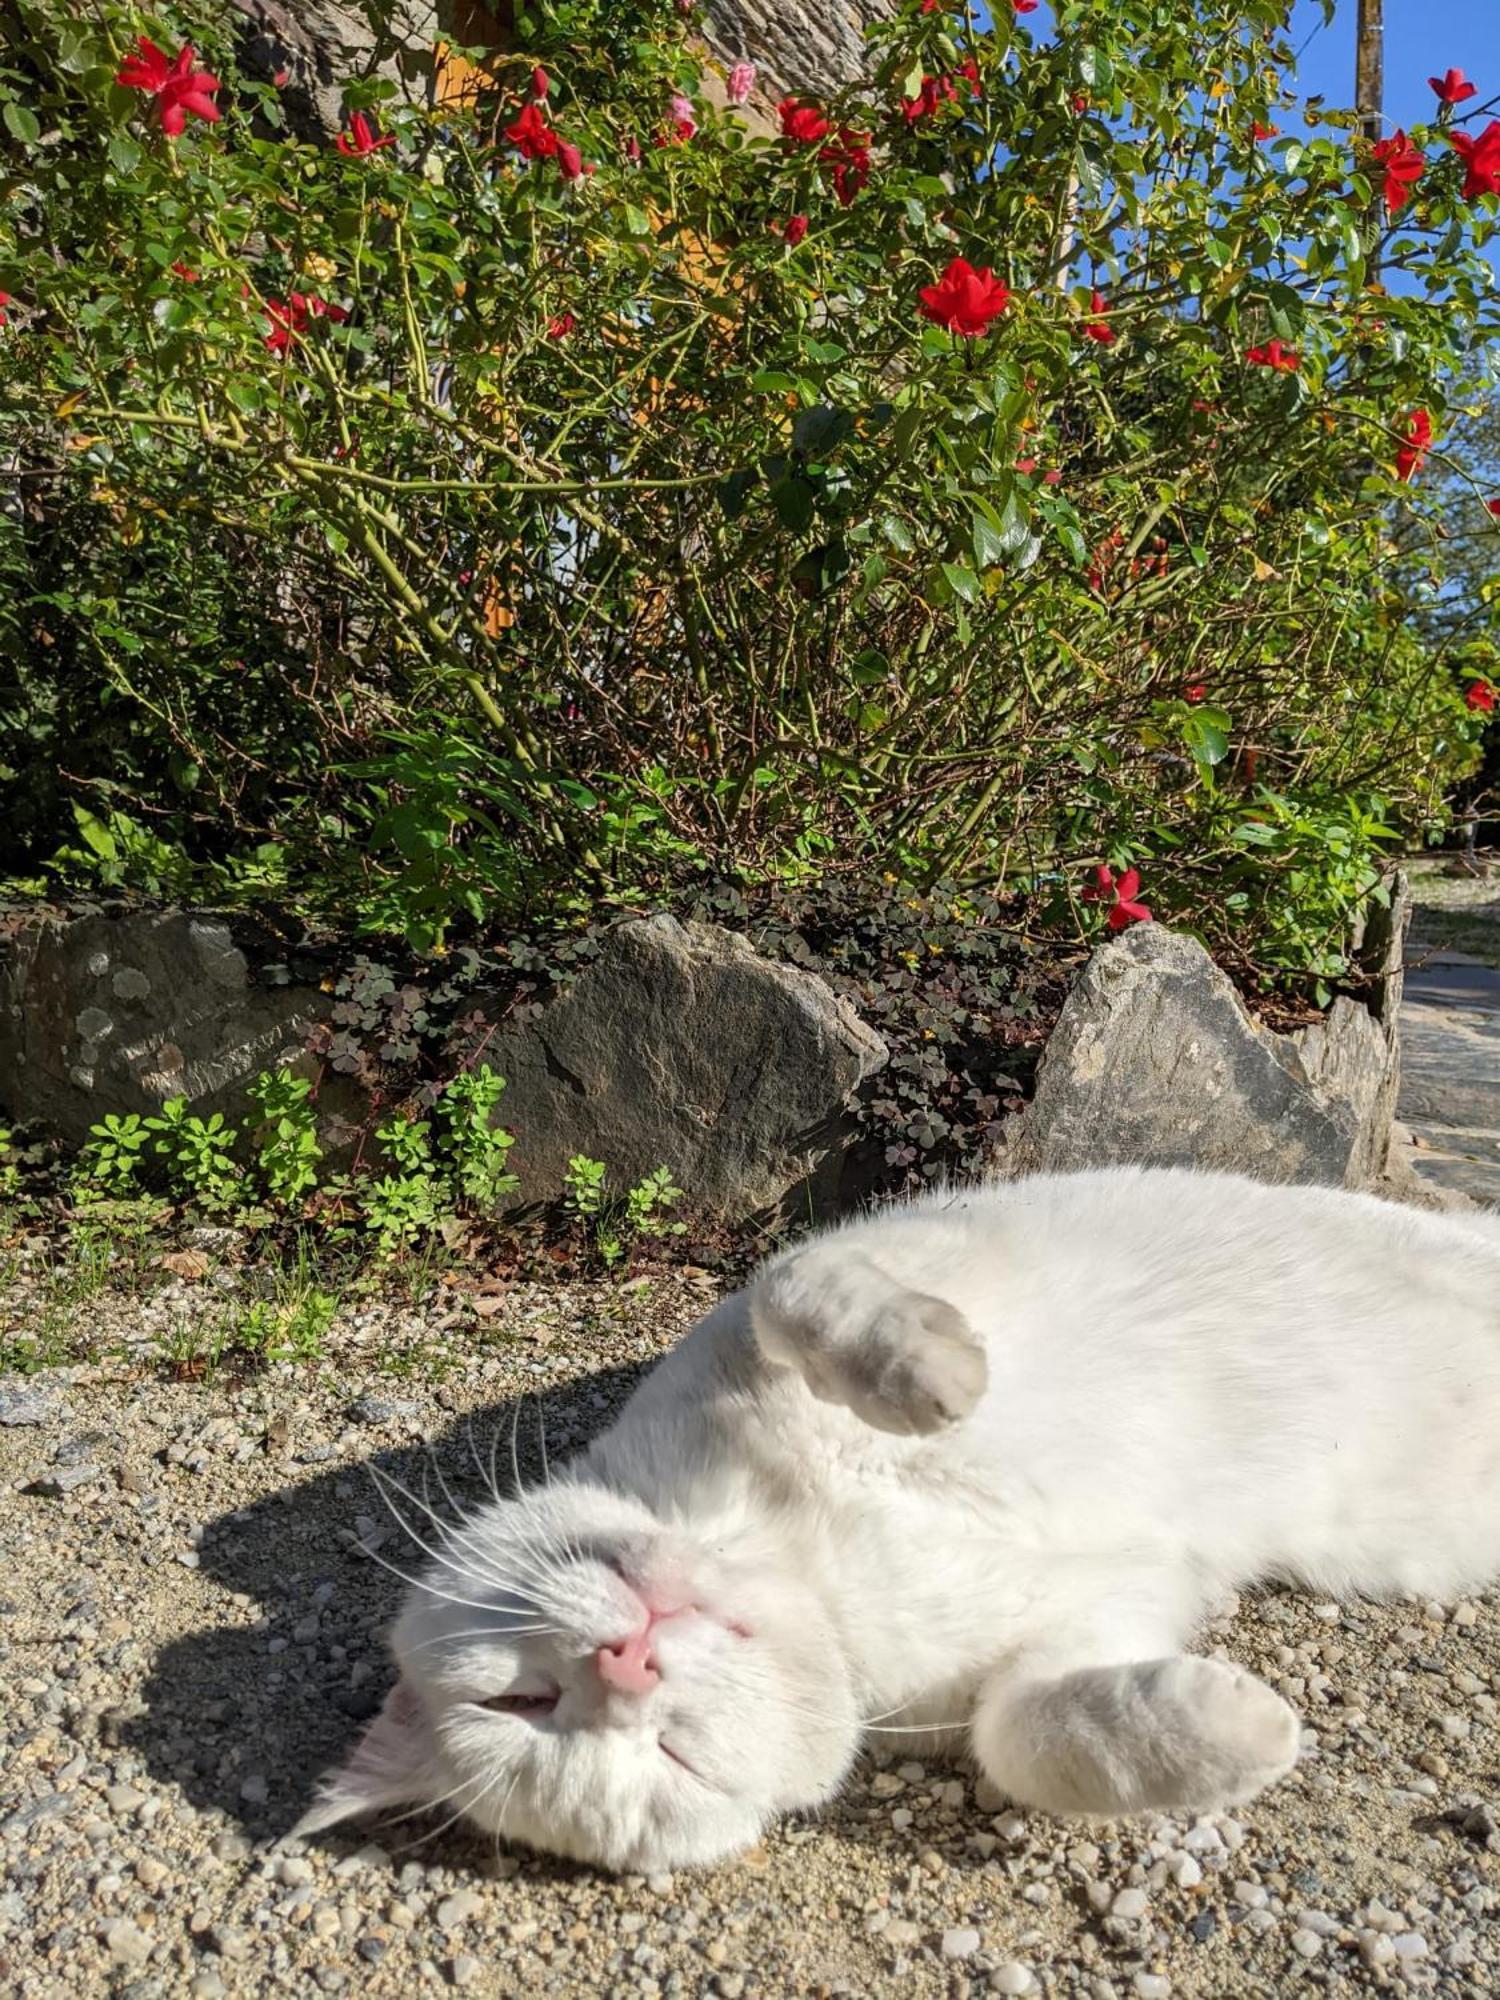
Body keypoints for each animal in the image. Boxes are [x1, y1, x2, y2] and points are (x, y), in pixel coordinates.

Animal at [294, 1168, 1500, 1872]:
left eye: (520, 1697)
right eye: (665, 1759)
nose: (625, 1664)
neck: (807, 1558)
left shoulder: (785, 1286)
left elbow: (797, 1284)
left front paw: (927, 1371)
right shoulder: (1093, 1623)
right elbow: (1023, 1733)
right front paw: (1233, 1729)